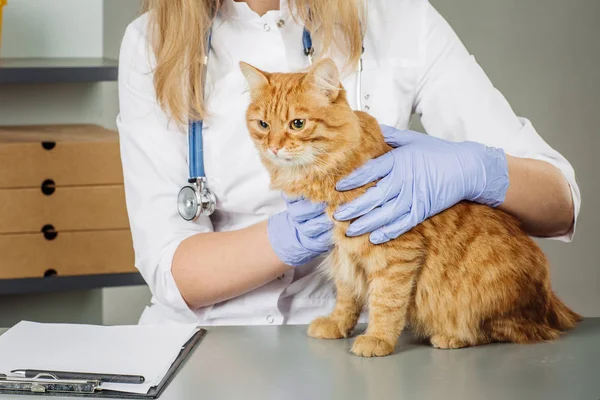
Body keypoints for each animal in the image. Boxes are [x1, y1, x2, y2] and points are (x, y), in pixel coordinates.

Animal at [239, 58, 580, 356]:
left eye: (297, 124)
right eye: (263, 124)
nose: (273, 147)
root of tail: (550, 299)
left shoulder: (395, 252)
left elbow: (386, 303)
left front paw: (377, 339)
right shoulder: (344, 254)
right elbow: (347, 298)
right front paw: (337, 324)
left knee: (505, 330)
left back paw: (452, 337)